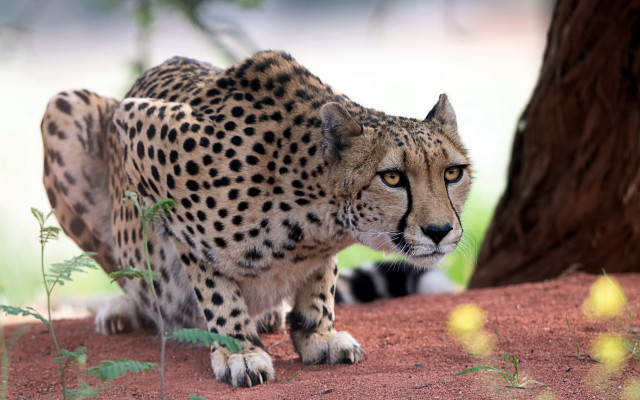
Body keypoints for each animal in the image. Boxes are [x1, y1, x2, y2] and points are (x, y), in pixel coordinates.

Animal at [40, 50, 471, 387]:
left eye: (453, 173)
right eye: (392, 177)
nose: (440, 231)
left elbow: (321, 279)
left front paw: (317, 334)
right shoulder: (139, 133)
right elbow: (211, 278)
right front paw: (238, 349)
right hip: (63, 108)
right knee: (130, 276)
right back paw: (130, 308)